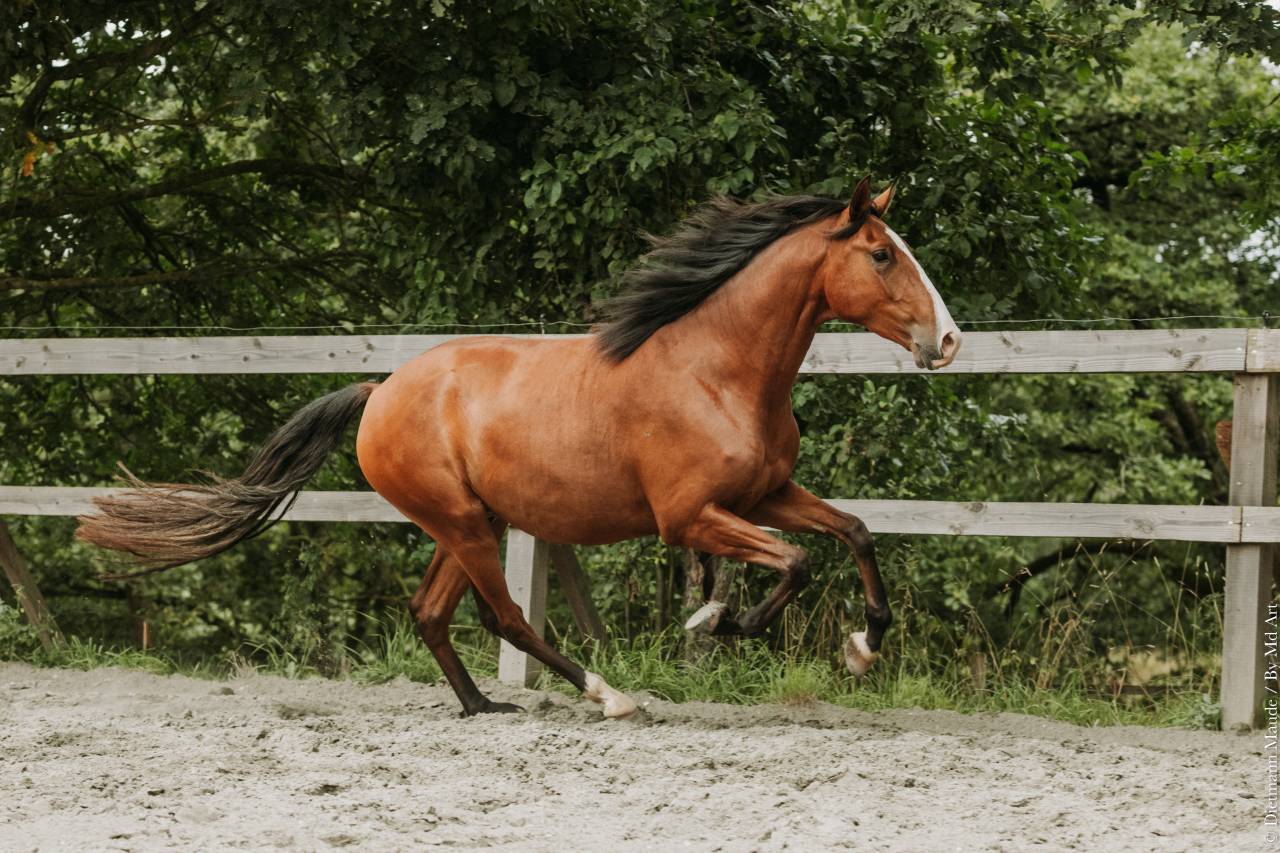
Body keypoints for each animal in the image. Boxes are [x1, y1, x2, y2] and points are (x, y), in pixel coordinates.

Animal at [77, 177, 962, 718]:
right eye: (881, 253)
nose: (948, 340)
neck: (718, 370)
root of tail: (378, 391)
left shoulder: (763, 496)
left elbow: (853, 533)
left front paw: (861, 647)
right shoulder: (690, 517)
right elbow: (795, 562)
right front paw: (720, 619)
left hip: (471, 521)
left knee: (433, 613)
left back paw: (482, 705)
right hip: (463, 523)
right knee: (501, 615)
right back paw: (607, 693)